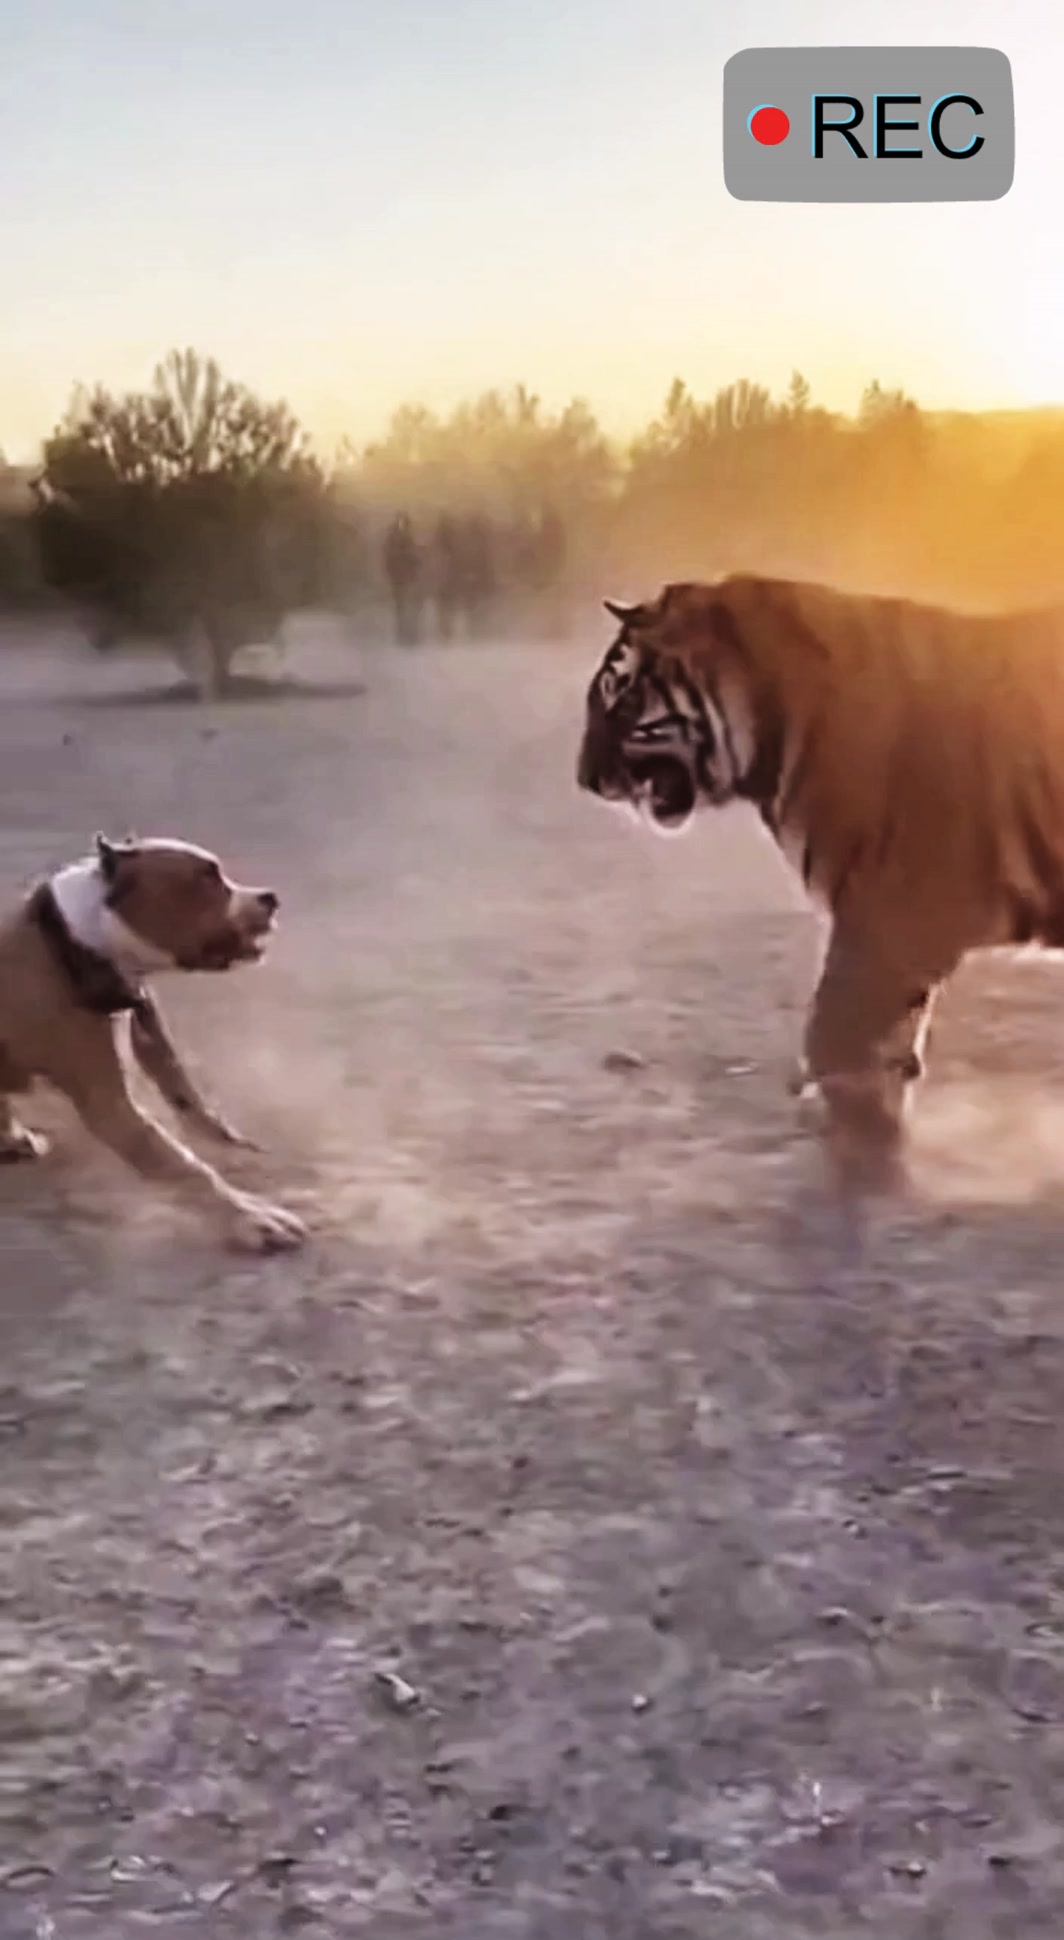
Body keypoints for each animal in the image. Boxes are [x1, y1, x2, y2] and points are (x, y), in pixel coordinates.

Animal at [576, 574, 1064, 1178]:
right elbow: (882, 1048)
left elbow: (835, 1040)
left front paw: (856, 1140)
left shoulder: (885, 921)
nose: (585, 779)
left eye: (621, 701)